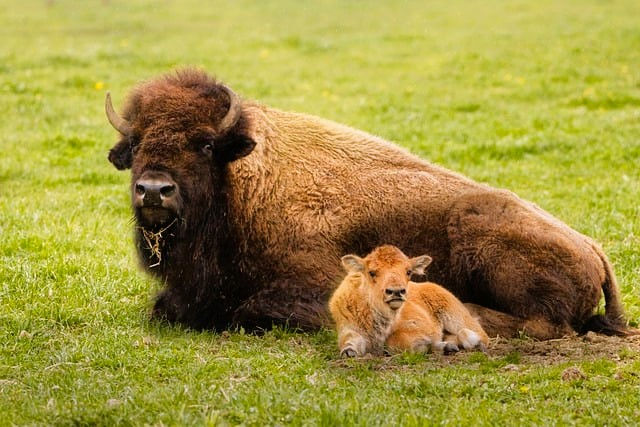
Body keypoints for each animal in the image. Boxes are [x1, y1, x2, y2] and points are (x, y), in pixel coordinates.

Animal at [105, 69, 633, 338]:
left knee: (541, 326)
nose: (154, 190)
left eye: (205, 144)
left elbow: (246, 312)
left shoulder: (313, 286)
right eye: (137, 141)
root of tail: (593, 247)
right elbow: (165, 308)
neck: (241, 184)